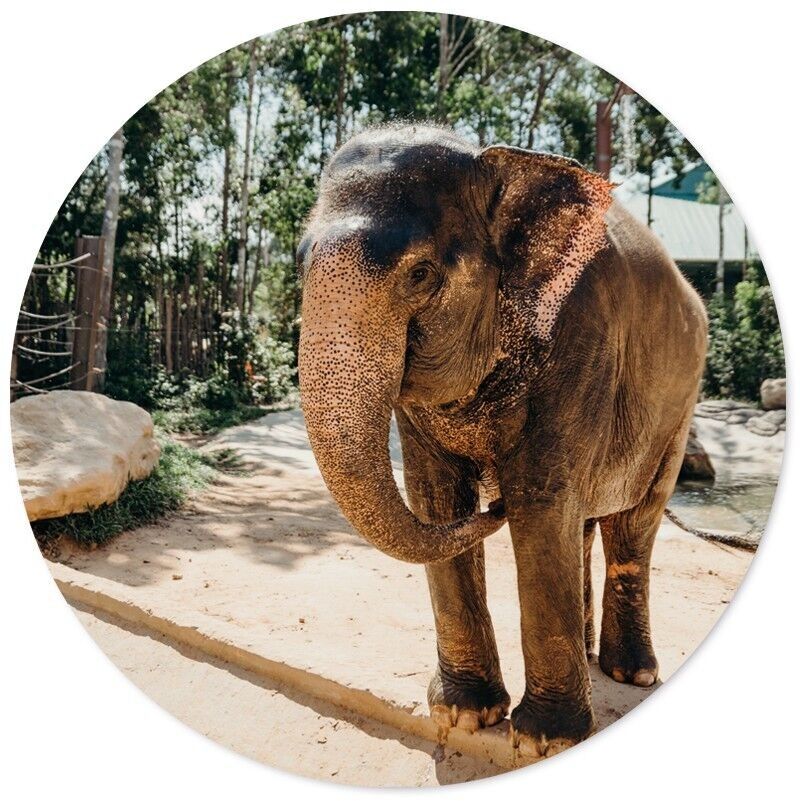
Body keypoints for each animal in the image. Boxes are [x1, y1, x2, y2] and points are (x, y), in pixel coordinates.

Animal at [297, 124, 707, 758]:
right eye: (299, 263)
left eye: (419, 274)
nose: (495, 503)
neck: (500, 163)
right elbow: (437, 498)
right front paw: (466, 716)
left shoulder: (582, 340)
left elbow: (540, 499)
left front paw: (544, 741)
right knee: (583, 524)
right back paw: (589, 654)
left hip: (677, 410)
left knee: (632, 526)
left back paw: (630, 673)